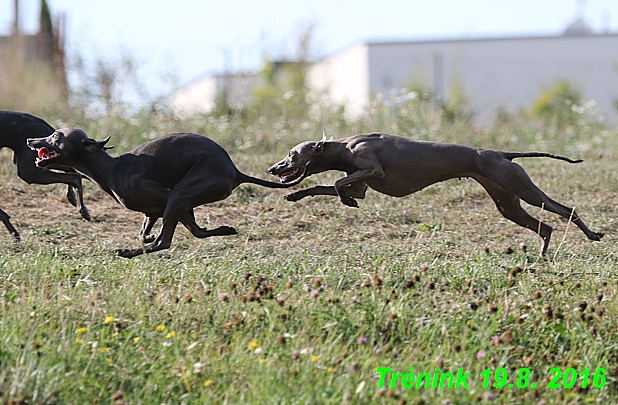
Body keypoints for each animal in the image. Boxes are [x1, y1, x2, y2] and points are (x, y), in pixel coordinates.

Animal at [0, 109, 89, 240]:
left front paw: (14, 234)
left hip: (29, 170)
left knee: (75, 177)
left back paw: (83, 210)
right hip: (40, 162)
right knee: (73, 170)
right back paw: (74, 199)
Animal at [270, 132, 600, 256]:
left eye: (292, 154)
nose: (273, 168)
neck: (344, 146)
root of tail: (501, 153)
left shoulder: (373, 171)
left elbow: (339, 184)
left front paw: (345, 199)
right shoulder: (361, 183)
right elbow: (323, 186)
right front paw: (295, 197)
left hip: (524, 189)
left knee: (567, 209)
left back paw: (593, 234)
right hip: (507, 203)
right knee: (545, 226)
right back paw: (543, 254)